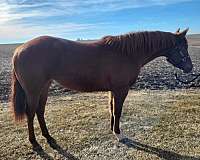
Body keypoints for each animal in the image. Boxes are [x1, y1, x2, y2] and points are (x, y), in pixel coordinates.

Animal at [10, 28, 192, 149]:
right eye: (182, 48)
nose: (190, 68)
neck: (126, 53)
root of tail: (19, 50)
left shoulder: (113, 90)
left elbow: (112, 109)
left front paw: (113, 130)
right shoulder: (121, 89)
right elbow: (117, 111)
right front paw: (119, 134)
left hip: (44, 87)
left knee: (40, 111)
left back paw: (48, 137)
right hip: (33, 90)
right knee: (30, 113)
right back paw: (34, 142)